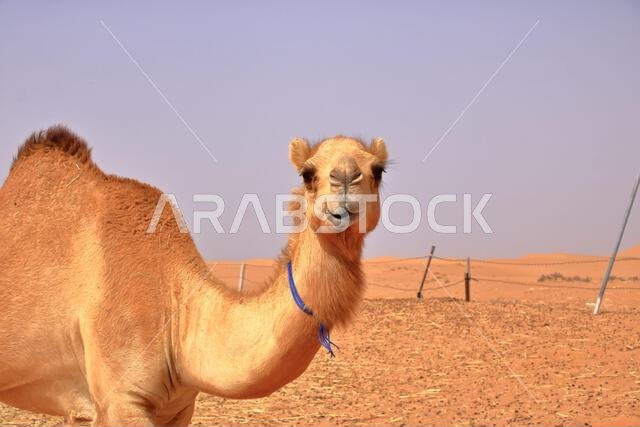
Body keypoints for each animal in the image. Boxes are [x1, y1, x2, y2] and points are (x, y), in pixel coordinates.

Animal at [0, 125, 388, 426]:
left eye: (378, 169)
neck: (177, 307)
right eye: (307, 173)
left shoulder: (178, 406)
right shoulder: (121, 399)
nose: (345, 181)